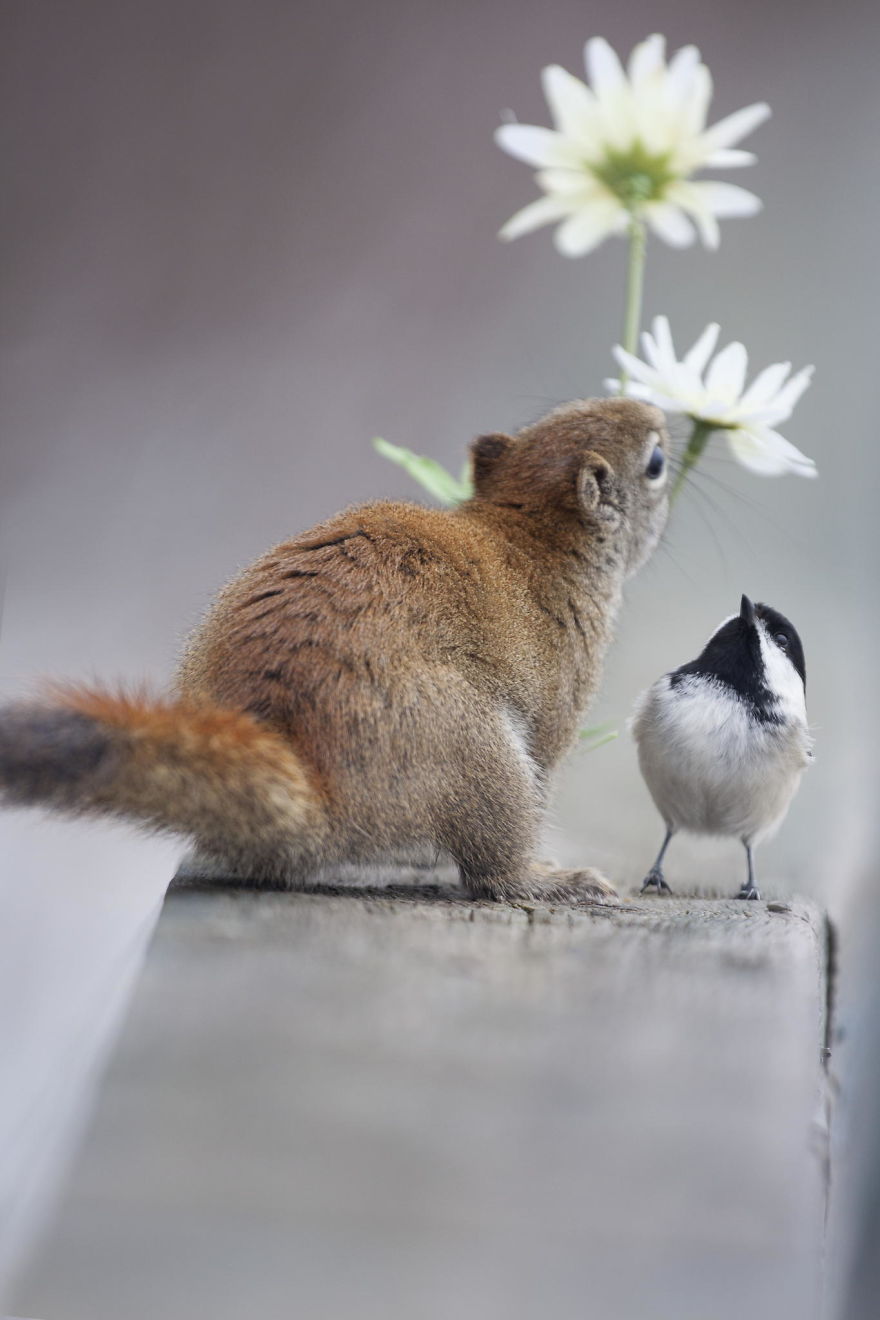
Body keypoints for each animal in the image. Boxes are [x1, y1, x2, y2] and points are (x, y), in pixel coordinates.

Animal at [0, 397, 669, 904]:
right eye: (656, 462)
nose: (655, 410)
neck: (526, 529)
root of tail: (318, 796)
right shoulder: (558, 703)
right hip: (477, 750)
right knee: (493, 871)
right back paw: (550, 880)